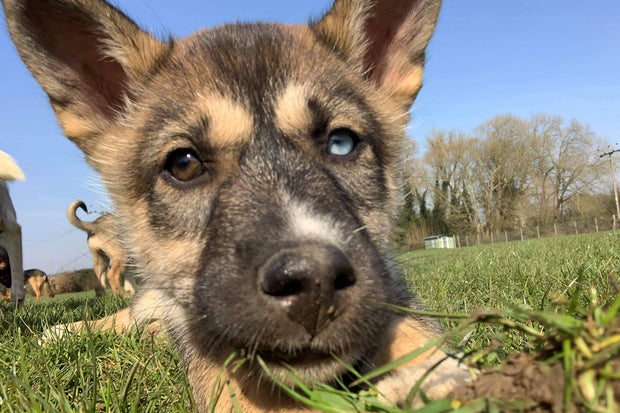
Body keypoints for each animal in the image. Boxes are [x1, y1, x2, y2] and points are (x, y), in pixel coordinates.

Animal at [3, 0, 470, 408]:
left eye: (341, 142)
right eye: (184, 164)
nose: (315, 285)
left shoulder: (388, 290)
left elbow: (414, 329)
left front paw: (436, 376)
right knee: (123, 317)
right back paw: (61, 330)